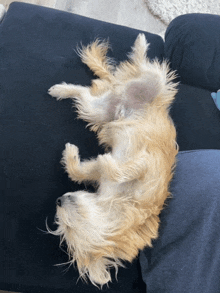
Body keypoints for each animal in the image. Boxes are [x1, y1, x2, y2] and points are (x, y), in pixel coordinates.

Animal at [48, 33, 179, 286]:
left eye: (67, 225)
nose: (58, 200)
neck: (116, 200)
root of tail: (119, 91)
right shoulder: (98, 173)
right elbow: (81, 171)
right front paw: (72, 156)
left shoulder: (146, 167)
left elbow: (114, 169)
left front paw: (104, 161)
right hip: (96, 109)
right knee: (85, 91)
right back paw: (61, 89)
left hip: (149, 83)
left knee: (144, 66)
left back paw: (140, 45)